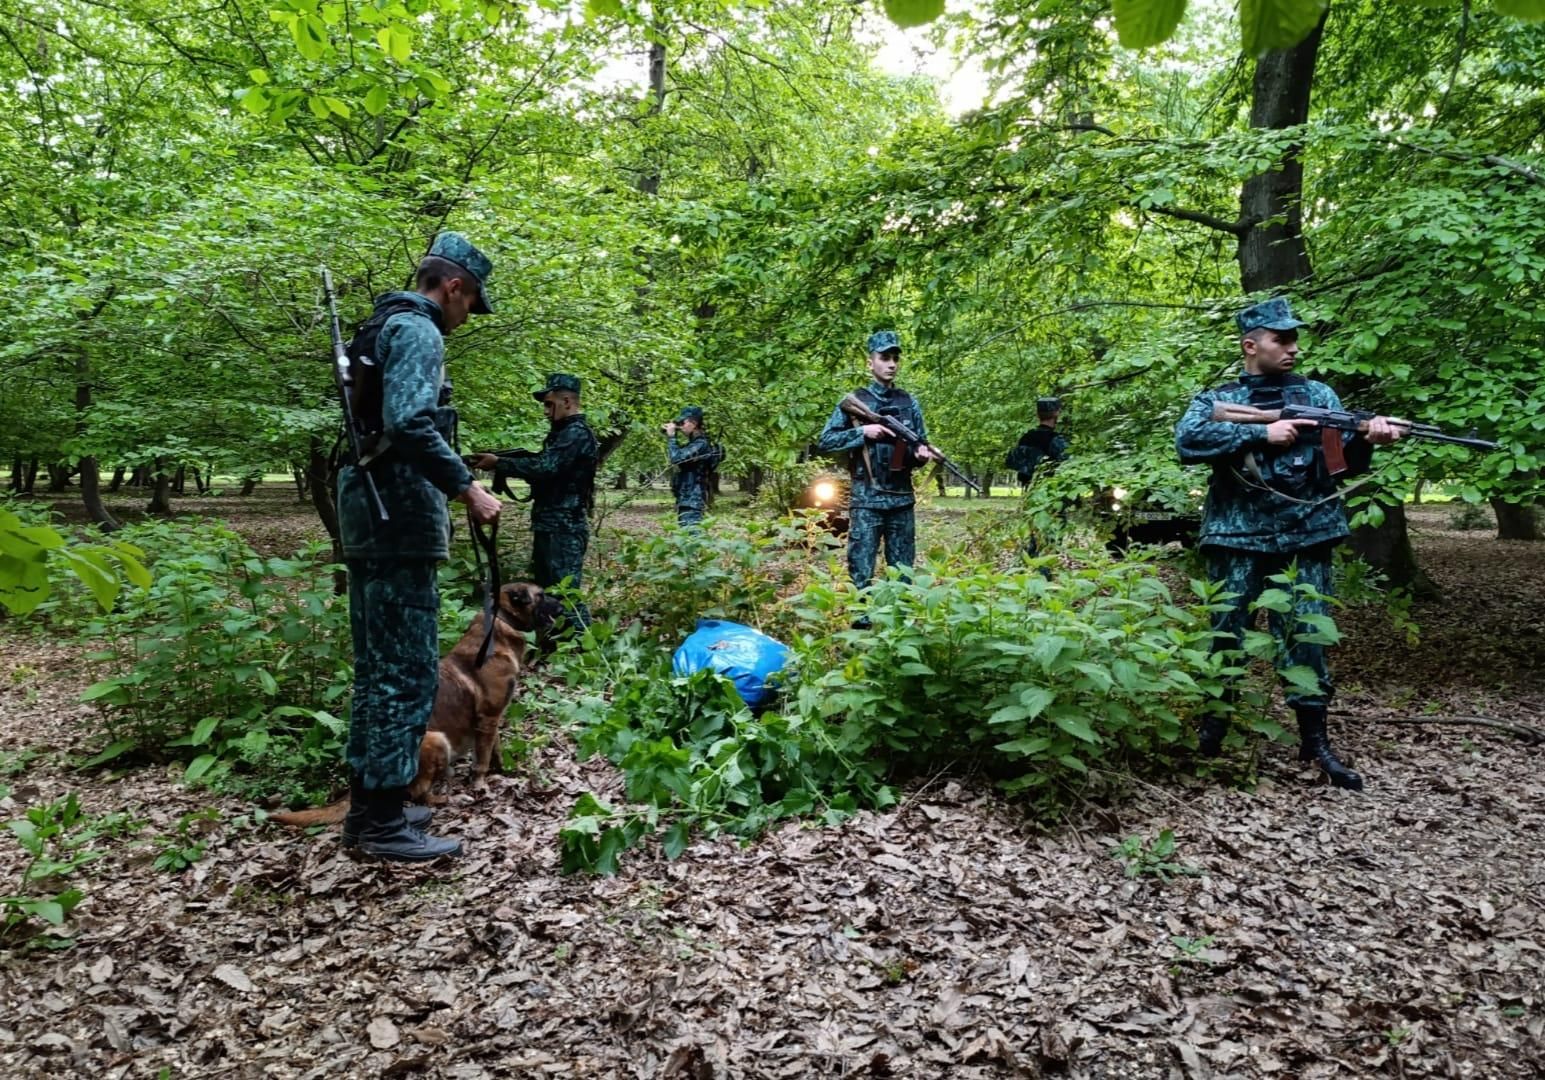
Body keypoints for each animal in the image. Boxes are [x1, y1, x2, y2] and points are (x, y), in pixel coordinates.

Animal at [275, 584, 546, 828]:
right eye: (541, 595)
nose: (557, 599)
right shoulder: (488, 717)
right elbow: (482, 760)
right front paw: (481, 783)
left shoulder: (492, 719)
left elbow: (494, 750)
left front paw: (504, 770)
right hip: (436, 741)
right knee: (418, 793)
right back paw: (445, 799)